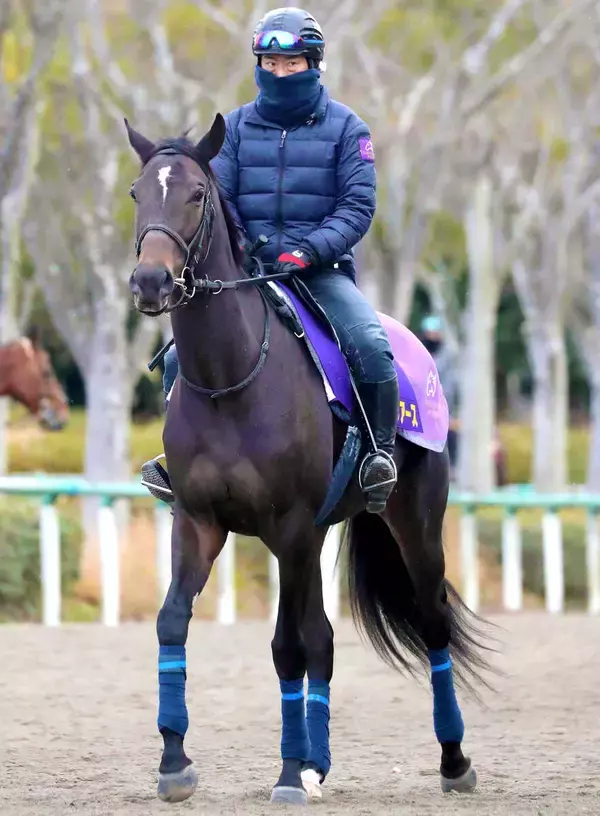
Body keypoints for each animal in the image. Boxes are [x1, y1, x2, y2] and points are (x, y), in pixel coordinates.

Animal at [125, 114, 491, 807]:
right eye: (137, 193)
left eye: (197, 196)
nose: (151, 282)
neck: (232, 379)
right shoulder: (198, 521)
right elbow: (171, 622)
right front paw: (174, 760)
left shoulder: (289, 527)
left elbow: (286, 648)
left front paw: (288, 773)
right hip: (321, 534)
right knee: (324, 638)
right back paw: (320, 763)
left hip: (413, 522)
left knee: (431, 623)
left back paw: (455, 761)